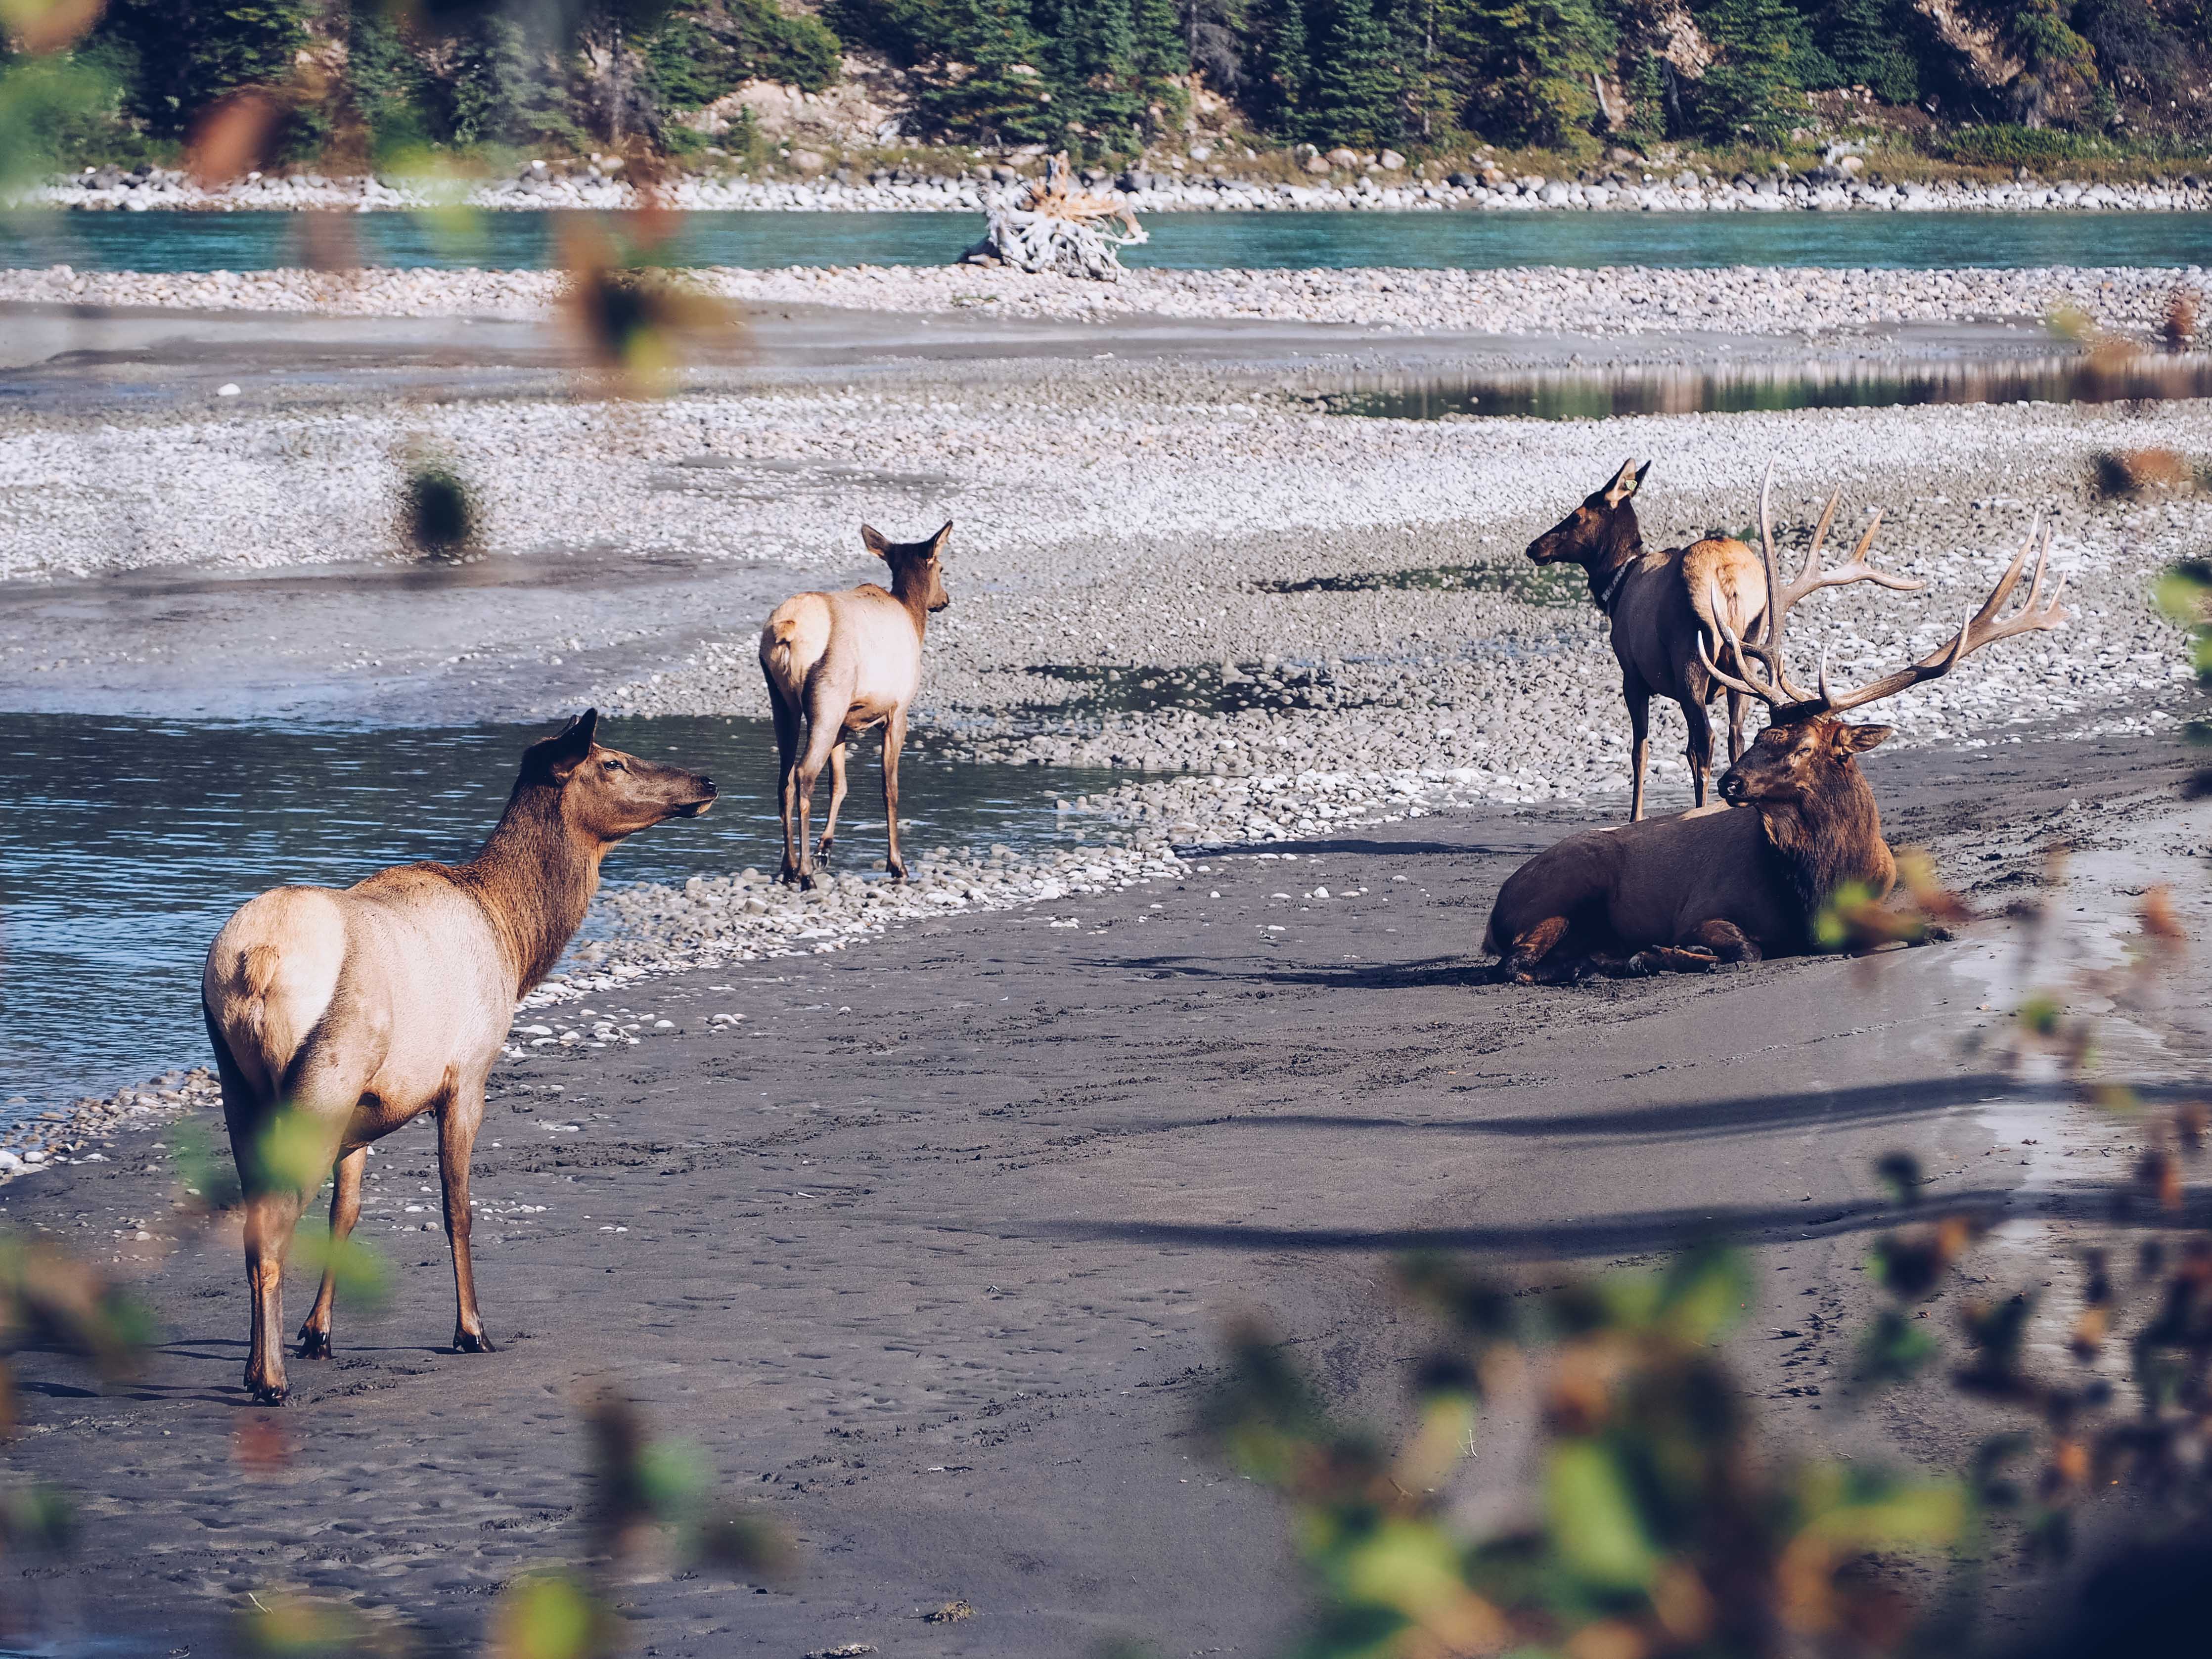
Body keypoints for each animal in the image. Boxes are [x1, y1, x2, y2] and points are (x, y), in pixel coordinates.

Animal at [204, 717, 712, 1407]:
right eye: (612, 761)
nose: (705, 781)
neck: (514, 938)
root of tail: (257, 960)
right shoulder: (468, 1073)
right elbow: (458, 1207)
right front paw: (472, 1328)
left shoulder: (369, 1105)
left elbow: (346, 1213)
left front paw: (319, 1332)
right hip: (323, 1078)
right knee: (276, 1225)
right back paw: (270, 1379)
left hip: (243, 1085)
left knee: (256, 1221)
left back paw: (260, 1366)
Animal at [761, 526, 951, 898]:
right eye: (941, 568)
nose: (944, 600)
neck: (913, 618)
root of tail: (787, 631)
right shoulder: (898, 711)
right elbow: (889, 788)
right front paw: (897, 864)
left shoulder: (844, 725)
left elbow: (841, 785)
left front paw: (825, 848)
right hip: (827, 698)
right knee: (804, 774)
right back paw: (805, 874)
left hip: (784, 702)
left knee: (784, 778)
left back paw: (788, 867)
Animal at [1522, 457, 1920, 823]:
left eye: (1576, 516)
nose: (1534, 547)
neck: (1617, 587)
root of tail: (1727, 577)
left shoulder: (1631, 674)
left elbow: (1640, 751)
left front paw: (1635, 817)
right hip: (1748, 651)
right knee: (1735, 735)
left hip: (1690, 658)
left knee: (1702, 743)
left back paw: (1699, 809)